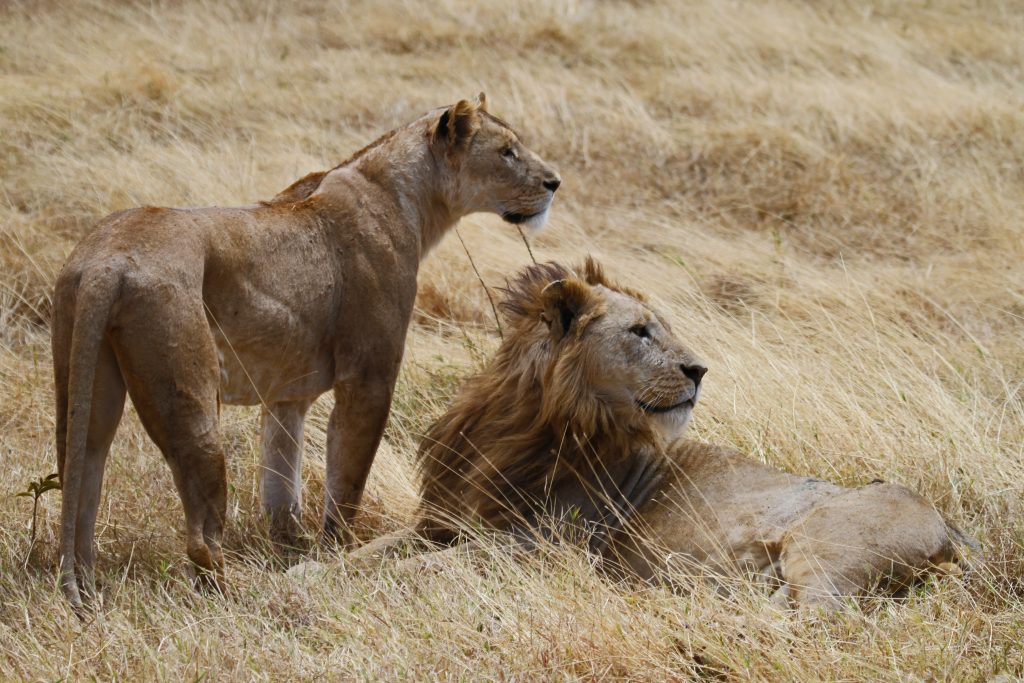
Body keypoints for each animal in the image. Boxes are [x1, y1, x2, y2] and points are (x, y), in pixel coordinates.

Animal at [49, 94, 561, 610]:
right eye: (507, 151)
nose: (555, 183)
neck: (411, 200)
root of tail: (106, 261)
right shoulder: (369, 378)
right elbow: (347, 481)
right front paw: (336, 556)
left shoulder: (286, 397)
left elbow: (281, 487)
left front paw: (290, 552)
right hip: (191, 400)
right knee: (200, 537)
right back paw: (237, 596)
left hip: (85, 389)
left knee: (80, 480)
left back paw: (87, 593)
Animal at [356, 258, 978, 610]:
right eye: (640, 332)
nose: (700, 370)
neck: (524, 425)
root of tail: (951, 529)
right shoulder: (441, 521)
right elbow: (372, 552)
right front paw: (331, 572)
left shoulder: (544, 546)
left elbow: (427, 567)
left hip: (826, 548)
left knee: (810, 617)